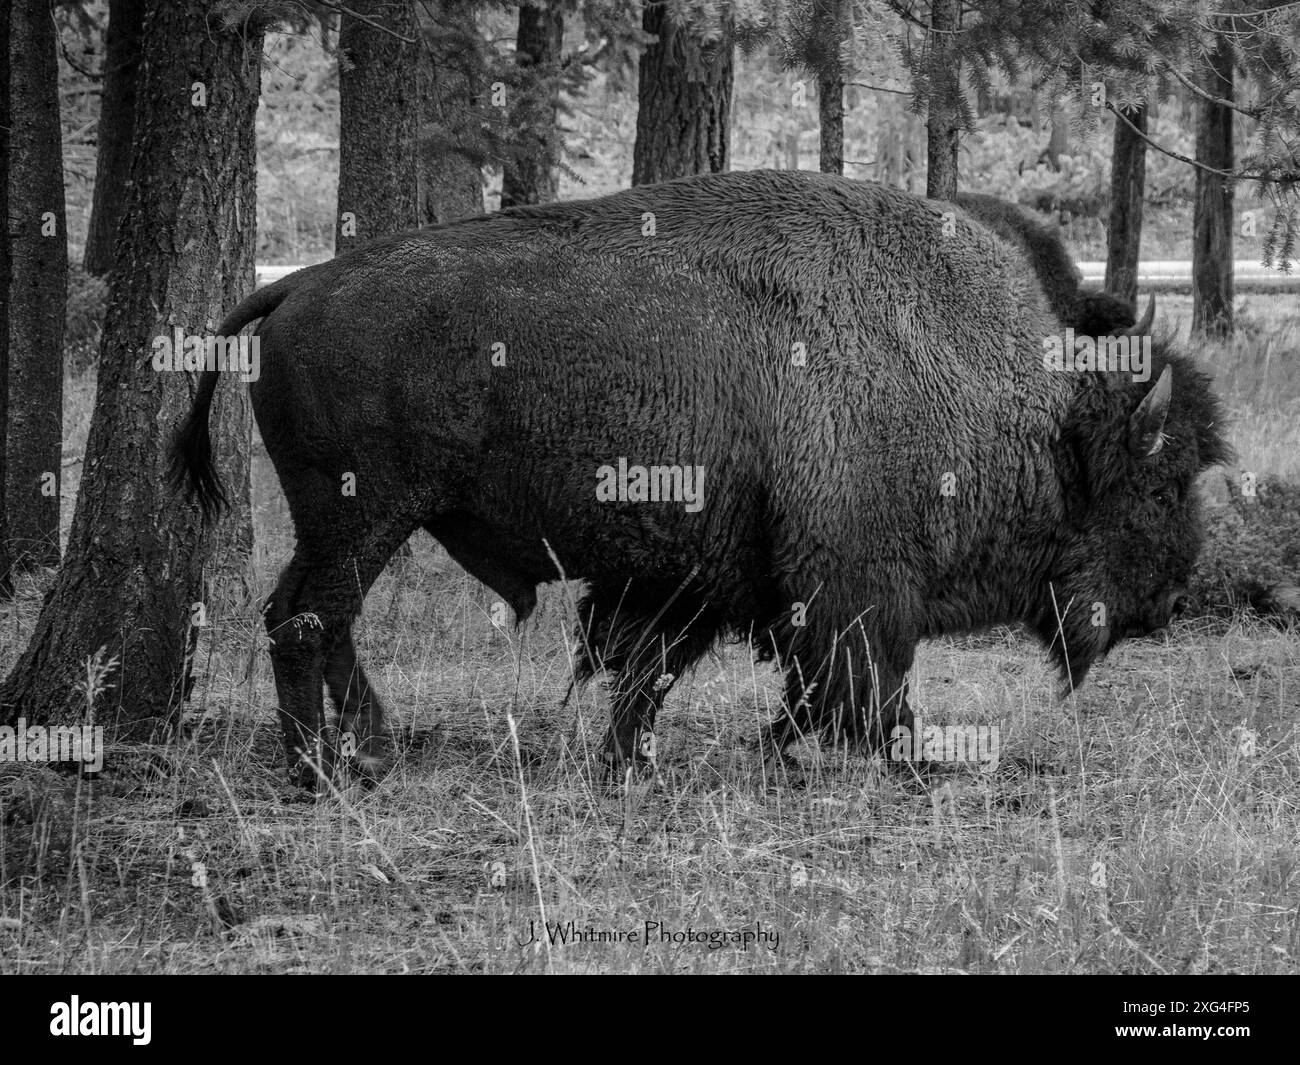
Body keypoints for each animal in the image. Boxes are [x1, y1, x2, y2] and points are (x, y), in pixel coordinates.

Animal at [172, 170, 1227, 785]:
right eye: (1160, 480)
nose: (1171, 600)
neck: (1025, 395)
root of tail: (295, 283)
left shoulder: (704, 577)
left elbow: (656, 670)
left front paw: (635, 761)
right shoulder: (853, 584)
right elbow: (865, 680)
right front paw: (907, 756)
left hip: (360, 520)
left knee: (320, 619)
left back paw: (370, 749)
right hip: (363, 514)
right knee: (306, 616)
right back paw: (325, 768)